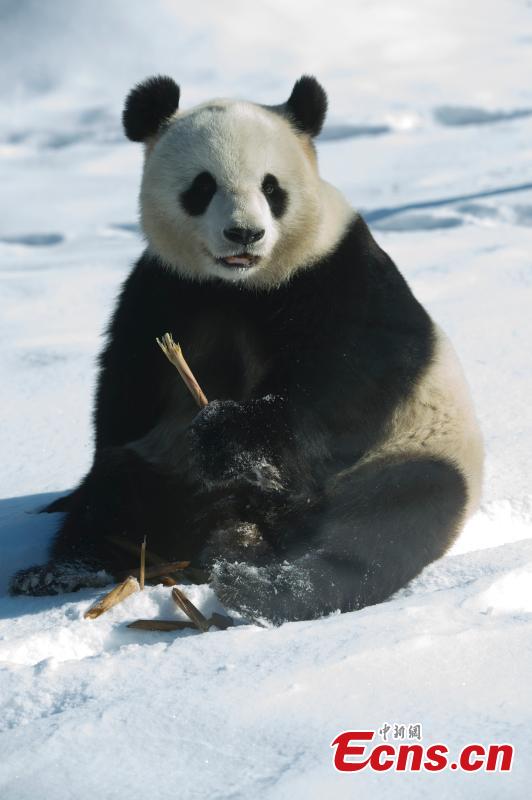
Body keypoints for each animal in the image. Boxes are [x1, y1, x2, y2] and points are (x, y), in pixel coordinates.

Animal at [11, 75, 484, 624]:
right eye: (202, 186)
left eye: (271, 187)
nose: (245, 233)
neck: (239, 286)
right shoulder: (165, 289)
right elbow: (125, 392)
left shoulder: (338, 272)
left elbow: (350, 379)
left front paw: (228, 434)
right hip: (167, 466)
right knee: (121, 491)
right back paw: (65, 570)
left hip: (411, 449)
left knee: (392, 516)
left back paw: (267, 588)